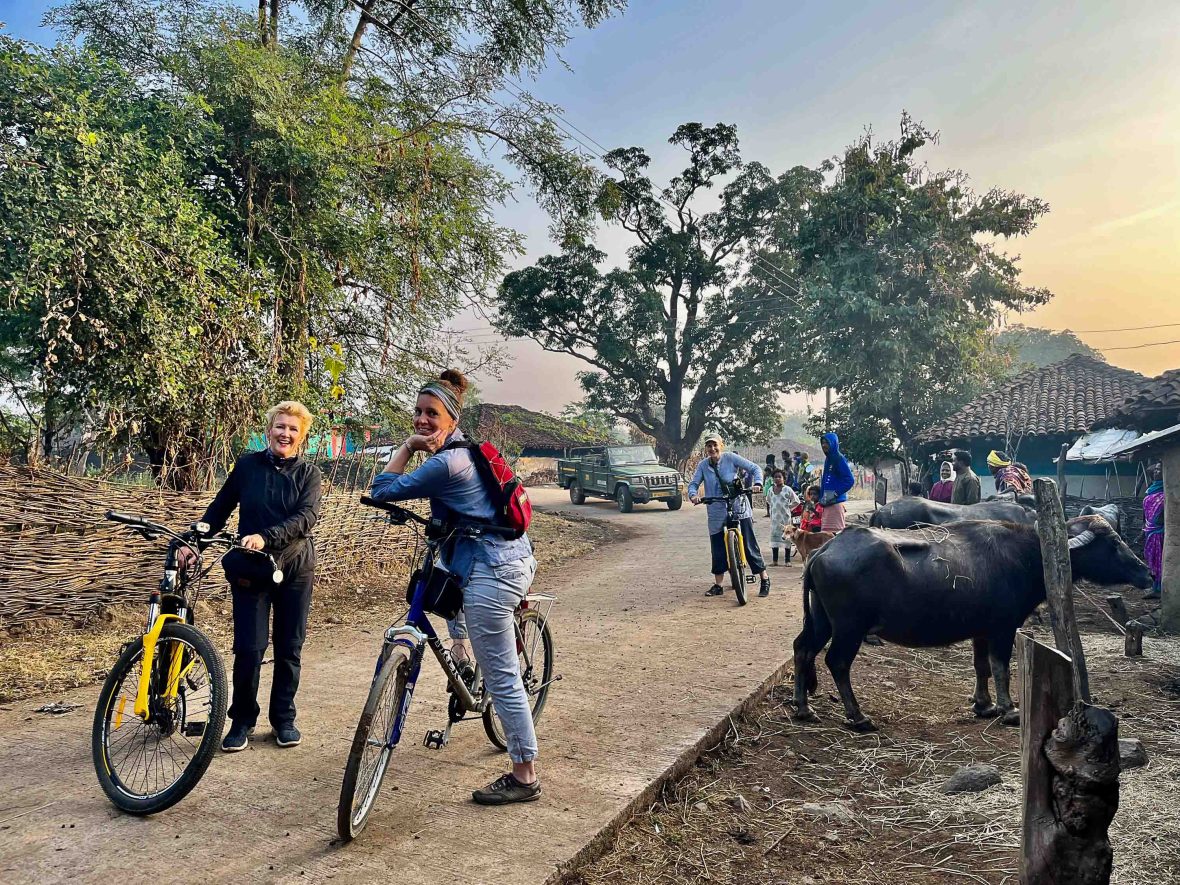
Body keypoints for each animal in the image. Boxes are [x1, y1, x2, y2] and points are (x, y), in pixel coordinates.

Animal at [792, 516, 1151, 731]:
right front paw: (1009, 709)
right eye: (1113, 543)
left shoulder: (982, 629)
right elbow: (1001, 666)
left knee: (802, 649)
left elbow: (981, 666)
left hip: (823, 621)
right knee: (836, 662)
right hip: (849, 627)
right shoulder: (1003, 627)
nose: (1146, 571)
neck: (1026, 556)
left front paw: (984, 704)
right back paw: (858, 716)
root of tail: (824, 549)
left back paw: (803, 708)